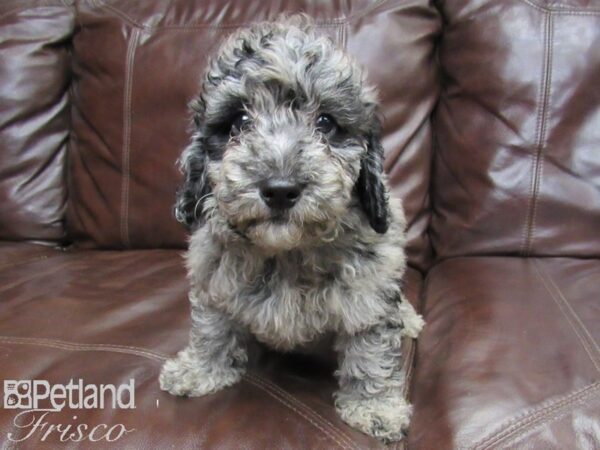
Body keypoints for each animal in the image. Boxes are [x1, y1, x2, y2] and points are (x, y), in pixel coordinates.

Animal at [158, 14, 422, 442]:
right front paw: (199, 370)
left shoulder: (371, 285)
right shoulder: (213, 272)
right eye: (239, 122)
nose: (280, 190)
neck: (287, 251)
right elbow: (211, 324)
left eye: (326, 123)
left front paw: (375, 407)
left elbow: (371, 345)